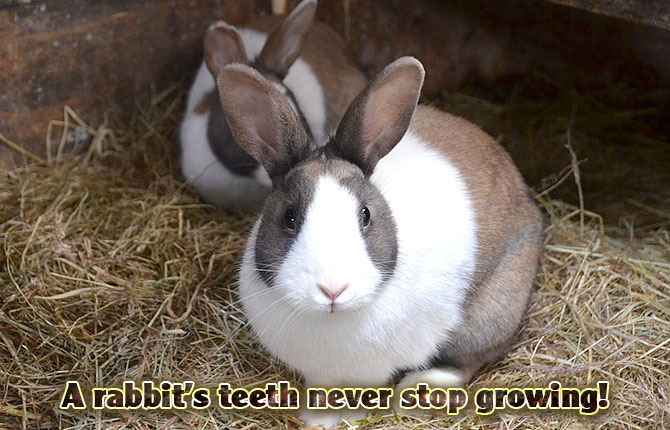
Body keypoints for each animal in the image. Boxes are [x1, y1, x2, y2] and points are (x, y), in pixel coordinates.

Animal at [216, 57, 544, 427]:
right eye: (289, 217)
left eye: (365, 215)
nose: (333, 289)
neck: (332, 319)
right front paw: (317, 418)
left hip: (492, 312)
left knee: (469, 359)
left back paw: (421, 389)